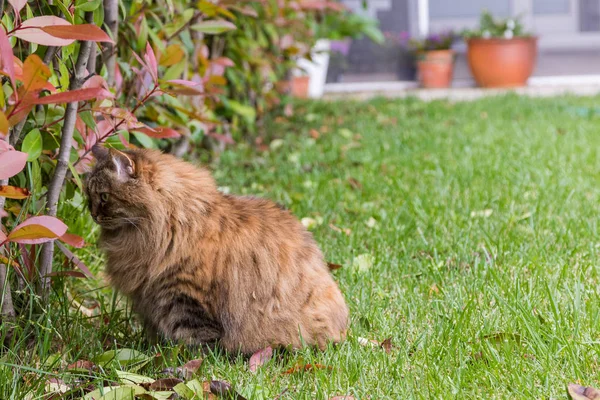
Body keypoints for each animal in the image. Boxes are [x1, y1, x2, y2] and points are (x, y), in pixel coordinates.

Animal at [84, 146, 346, 354]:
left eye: (104, 197)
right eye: (88, 196)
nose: (92, 214)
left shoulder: (183, 296)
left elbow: (193, 336)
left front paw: (185, 359)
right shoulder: (150, 299)